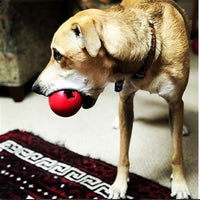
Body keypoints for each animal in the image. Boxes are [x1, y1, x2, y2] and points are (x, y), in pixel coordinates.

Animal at [32, 0, 191, 197]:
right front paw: (120, 184)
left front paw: (180, 184)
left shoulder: (174, 100)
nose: (34, 88)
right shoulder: (125, 99)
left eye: (57, 55)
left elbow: (177, 153)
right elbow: (123, 153)